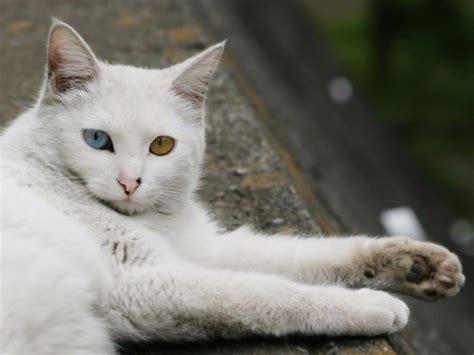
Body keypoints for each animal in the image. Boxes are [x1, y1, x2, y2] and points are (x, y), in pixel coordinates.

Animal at [0, 20, 464, 355]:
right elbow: (268, 292)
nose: (129, 183)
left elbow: (301, 255)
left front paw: (418, 265)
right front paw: (370, 304)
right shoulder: (143, 280)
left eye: (161, 145)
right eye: (97, 140)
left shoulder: (204, 248)